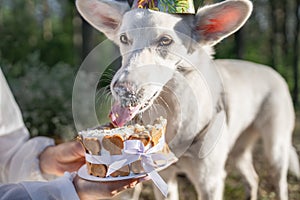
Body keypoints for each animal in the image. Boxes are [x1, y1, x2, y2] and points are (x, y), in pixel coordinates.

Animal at [76, 0, 298, 199]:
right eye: (123, 38)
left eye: (165, 41)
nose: (121, 89)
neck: (176, 113)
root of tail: (272, 72)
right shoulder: (165, 178)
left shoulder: (210, 182)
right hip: (239, 152)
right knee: (252, 178)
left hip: (275, 150)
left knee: (279, 183)